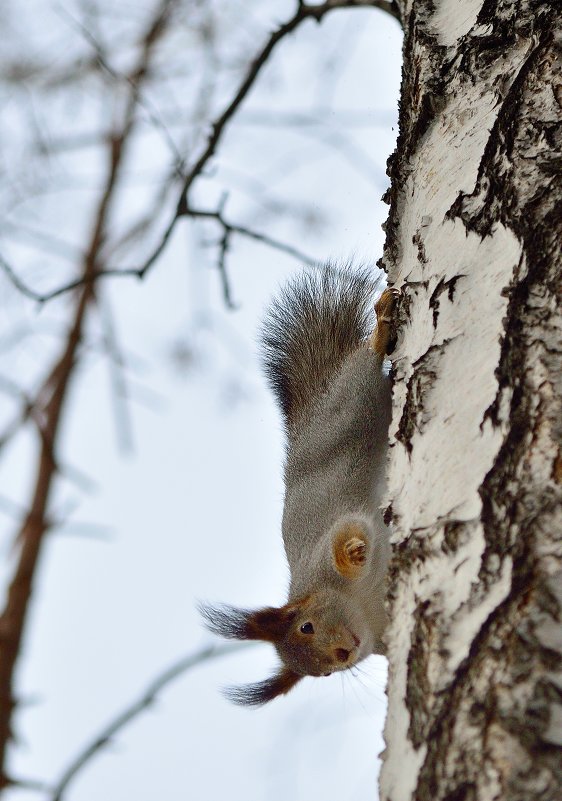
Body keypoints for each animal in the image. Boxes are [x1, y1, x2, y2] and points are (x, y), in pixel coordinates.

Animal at [199, 266, 396, 704]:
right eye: (323, 674)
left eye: (306, 626)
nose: (342, 653)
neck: (363, 605)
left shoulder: (322, 552)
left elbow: (347, 533)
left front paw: (354, 551)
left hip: (351, 407)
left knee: (363, 366)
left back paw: (380, 328)